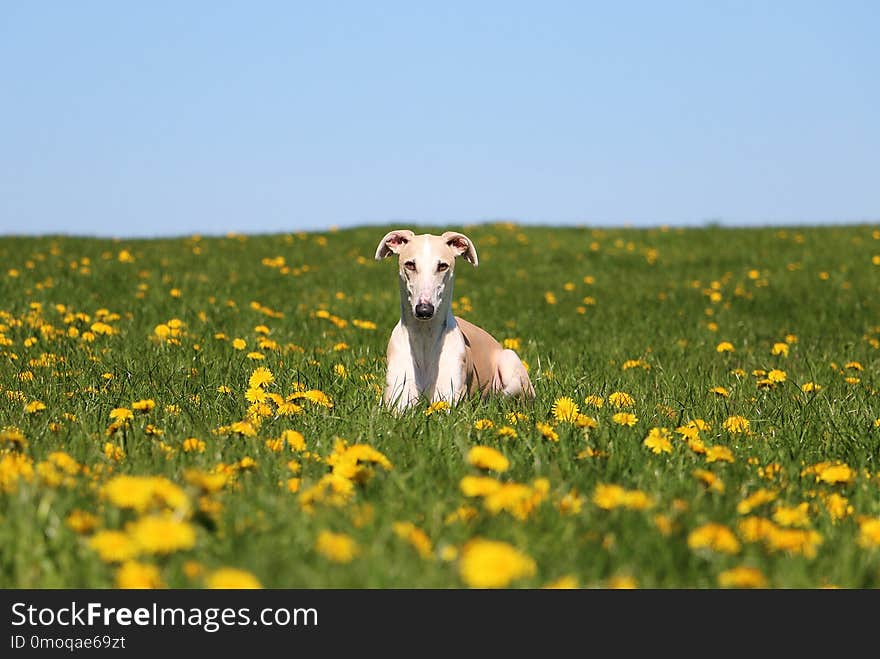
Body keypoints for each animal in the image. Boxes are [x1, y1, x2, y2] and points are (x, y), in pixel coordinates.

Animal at [372, 228, 532, 412]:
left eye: (442, 266)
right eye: (410, 264)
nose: (424, 310)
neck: (425, 337)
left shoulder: (448, 400)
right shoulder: (397, 400)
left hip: (510, 362)